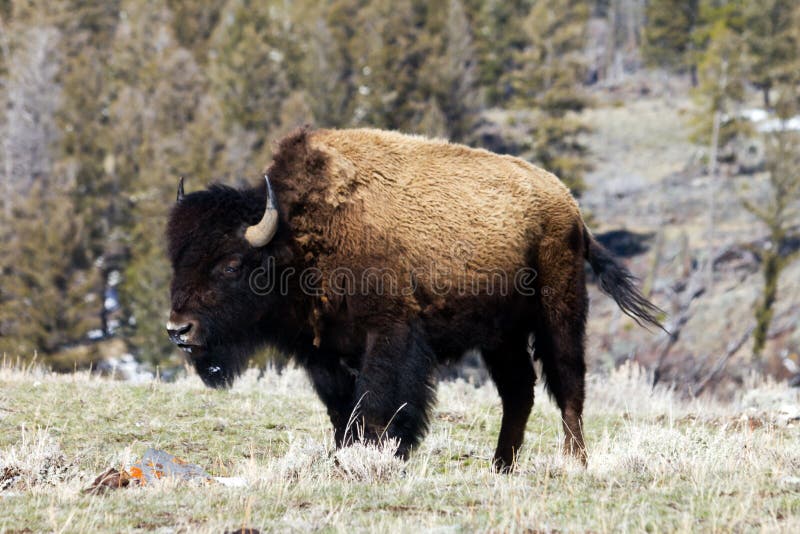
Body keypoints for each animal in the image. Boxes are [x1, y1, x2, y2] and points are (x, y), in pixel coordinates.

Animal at [165, 128, 662, 470]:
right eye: (176, 259)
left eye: (231, 264)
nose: (178, 330)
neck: (298, 236)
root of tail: (570, 206)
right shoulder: (322, 353)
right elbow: (341, 411)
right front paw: (346, 455)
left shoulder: (388, 336)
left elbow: (376, 403)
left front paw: (376, 456)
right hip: (500, 336)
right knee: (518, 391)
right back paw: (501, 466)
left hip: (559, 313)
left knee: (568, 383)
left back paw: (574, 461)